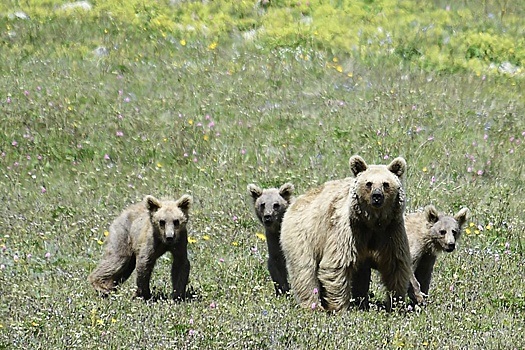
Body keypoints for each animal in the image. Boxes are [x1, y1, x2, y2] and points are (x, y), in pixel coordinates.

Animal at [280, 156, 412, 312]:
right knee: (305, 271)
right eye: (369, 183)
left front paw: (395, 303)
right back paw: (313, 305)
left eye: (386, 184)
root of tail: (297, 201)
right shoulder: (349, 231)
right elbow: (337, 265)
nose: (377, 196)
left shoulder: (390, 232)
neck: (372, 222)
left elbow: (396, 265)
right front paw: (340, 308)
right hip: (303, 235)